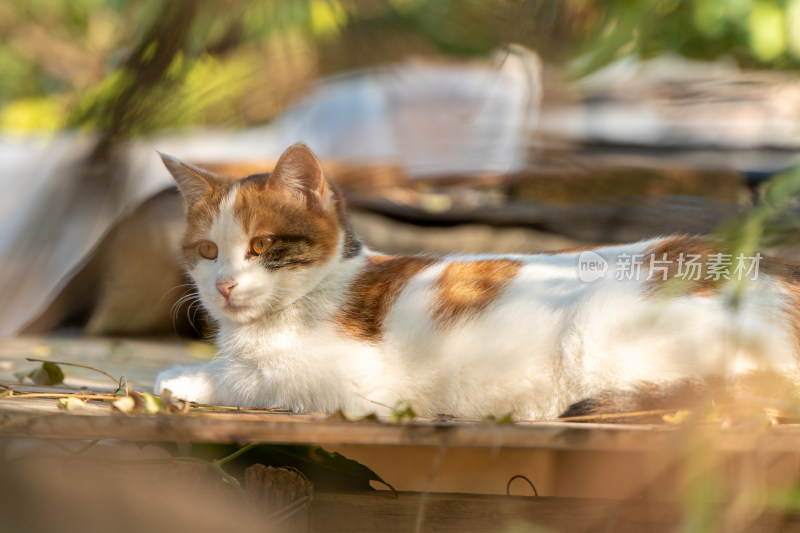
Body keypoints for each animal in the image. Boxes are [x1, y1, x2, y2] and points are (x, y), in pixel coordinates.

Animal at [153, 142, 800, 420]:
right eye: (208, 251)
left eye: (261, 247)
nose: (223, 286)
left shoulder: (352, 380)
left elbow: (257, 379)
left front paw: (187, 377)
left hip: (601, 330)